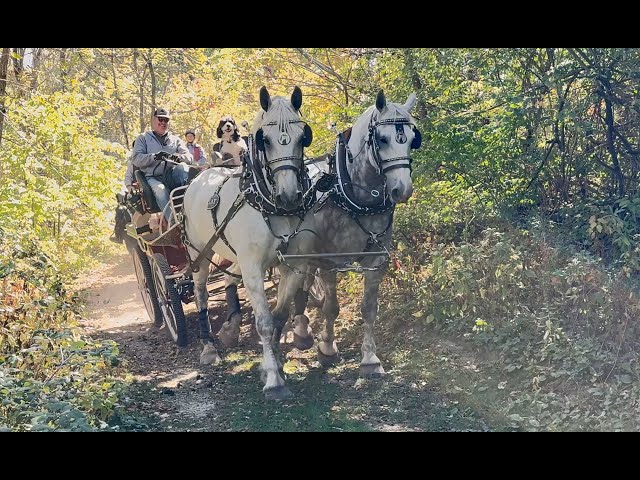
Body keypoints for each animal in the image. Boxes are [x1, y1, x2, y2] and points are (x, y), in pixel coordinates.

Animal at [182, 86, 312, 402]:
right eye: (265, 140)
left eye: (303, 136)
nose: (289, 195)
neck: (269, 204)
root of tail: (202, 173)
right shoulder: (253, 268)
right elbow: (263, 322)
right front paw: (274, 381)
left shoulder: (294, 266)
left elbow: (278, 316)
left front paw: (273, 366)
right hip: (198, 253)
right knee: (202, 294)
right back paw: (208, 346)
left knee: (230, 280)